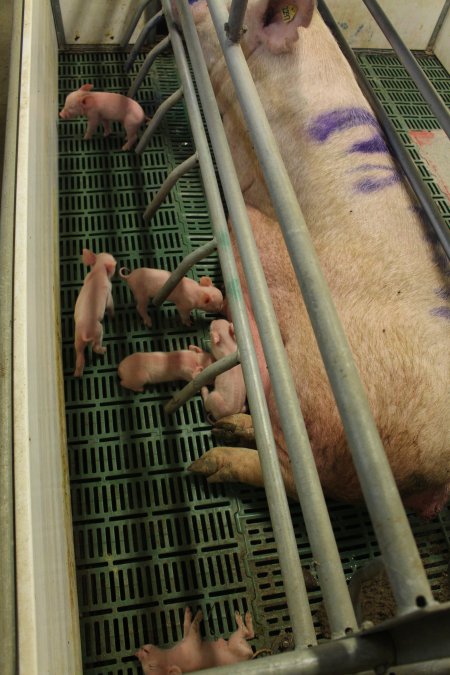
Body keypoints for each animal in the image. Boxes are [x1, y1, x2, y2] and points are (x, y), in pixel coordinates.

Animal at [73, 249, 117, 377]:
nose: (113, 256)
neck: (98, 270)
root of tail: (85, 332)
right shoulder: (109, 292)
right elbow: (111, 305)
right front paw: (113, 316)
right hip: (98, 330)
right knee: (95, 347)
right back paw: (104, 350)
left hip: (77, 340)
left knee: (80, 357)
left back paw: (77, 375)